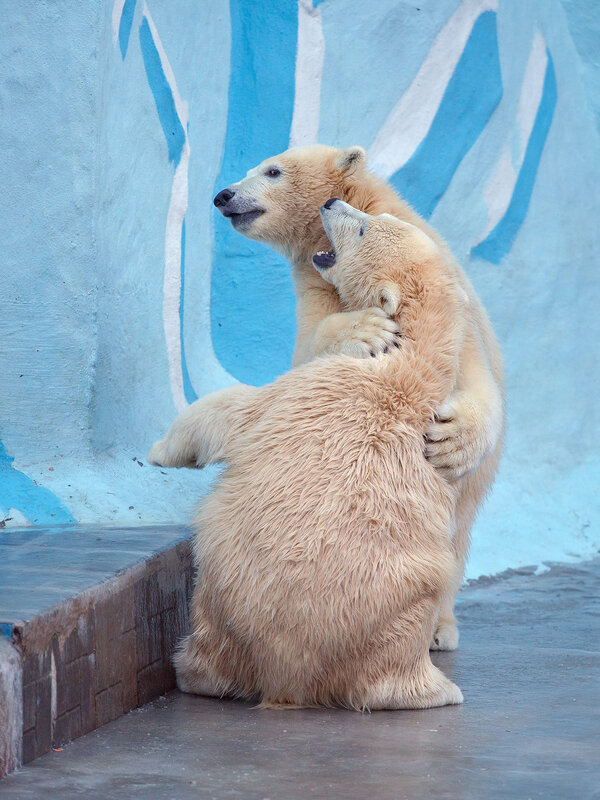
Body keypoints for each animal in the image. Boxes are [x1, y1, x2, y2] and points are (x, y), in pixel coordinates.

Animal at [149, 202, 464, 712]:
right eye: (373, 217)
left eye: (363, 228)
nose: (331, 205)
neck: (409, 367)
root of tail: (293, 674)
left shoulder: (314, 385)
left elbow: (234, 410)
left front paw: (161, 451)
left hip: (225, 594)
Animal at [213, 147, 504, 652]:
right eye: (257, 167)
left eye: (272, 170)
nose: (224, 195)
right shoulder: (316, 283)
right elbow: (311, 348)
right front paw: (367, 332)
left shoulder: (451, 303)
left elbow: (472, 376)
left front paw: (452, 442)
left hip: (471, 493)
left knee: (456, 533)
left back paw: (440, 628)